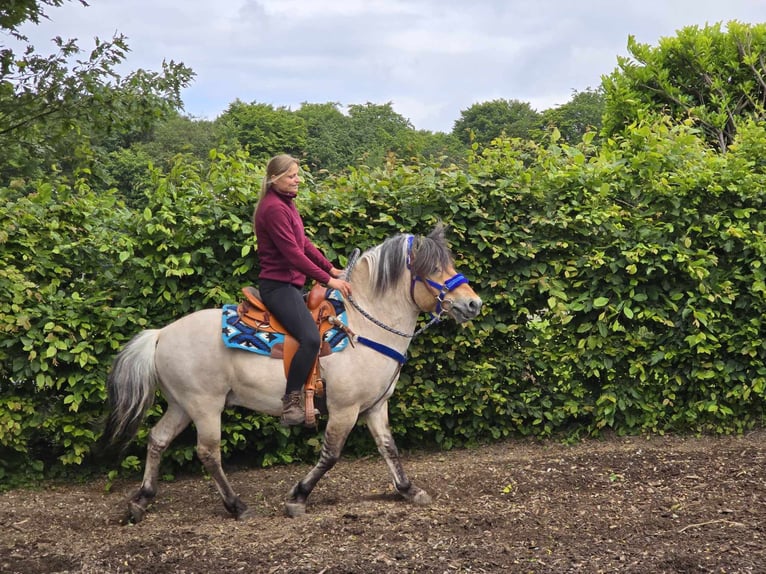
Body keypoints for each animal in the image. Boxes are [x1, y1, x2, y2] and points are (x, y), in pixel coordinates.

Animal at [105, 224, 484, 520]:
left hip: (181, 405)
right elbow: (331, 454)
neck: (363, 325)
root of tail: (161, 335)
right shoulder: (345, 409)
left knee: (158, 439)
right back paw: (237, 506)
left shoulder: (375, 407)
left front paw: (408, 489)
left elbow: (389, 447)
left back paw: (141, 501)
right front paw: (298, 496)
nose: (473, 304)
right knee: (208, 453)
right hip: (204, 406)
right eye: (433, 269)